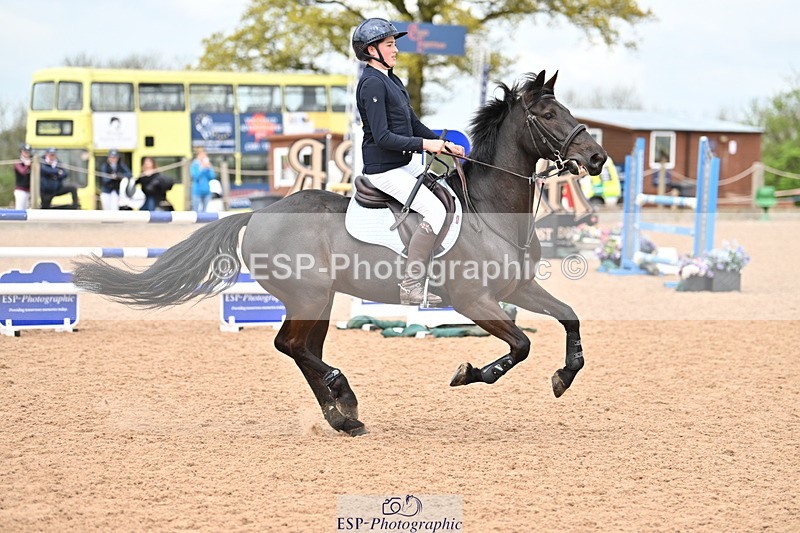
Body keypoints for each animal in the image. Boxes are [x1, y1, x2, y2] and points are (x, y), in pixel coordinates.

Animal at [72, 70, 607, 436]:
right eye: (548, 115)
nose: (598, 157)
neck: (491, 210)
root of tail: (258, 214)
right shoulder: (473, 300)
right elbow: (520, 345)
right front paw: (471, 373)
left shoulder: (520, 287)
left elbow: (570, 316)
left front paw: (565, 376)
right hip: (308, 295)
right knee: (290, 345)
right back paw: (343, 397)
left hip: (321, 298)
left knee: (301, 348)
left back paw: (341, 415)